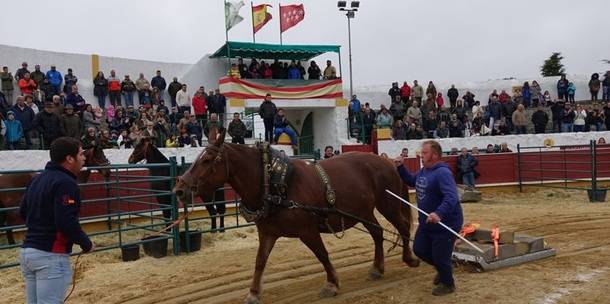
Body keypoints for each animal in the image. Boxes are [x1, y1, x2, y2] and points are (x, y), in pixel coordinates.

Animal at [171, 129, 418, 304]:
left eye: (206, 160)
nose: (179, 189)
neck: (274, 183)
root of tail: (387, 161)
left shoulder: (307, 231)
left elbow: (322, 255)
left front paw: (332, 283)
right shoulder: (268, 233)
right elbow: (260, 262)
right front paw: (253, 293)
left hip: (388, 204)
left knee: (403, 227)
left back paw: (410, 258)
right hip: (363, 211)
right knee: (377, 232)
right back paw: (377, 268)